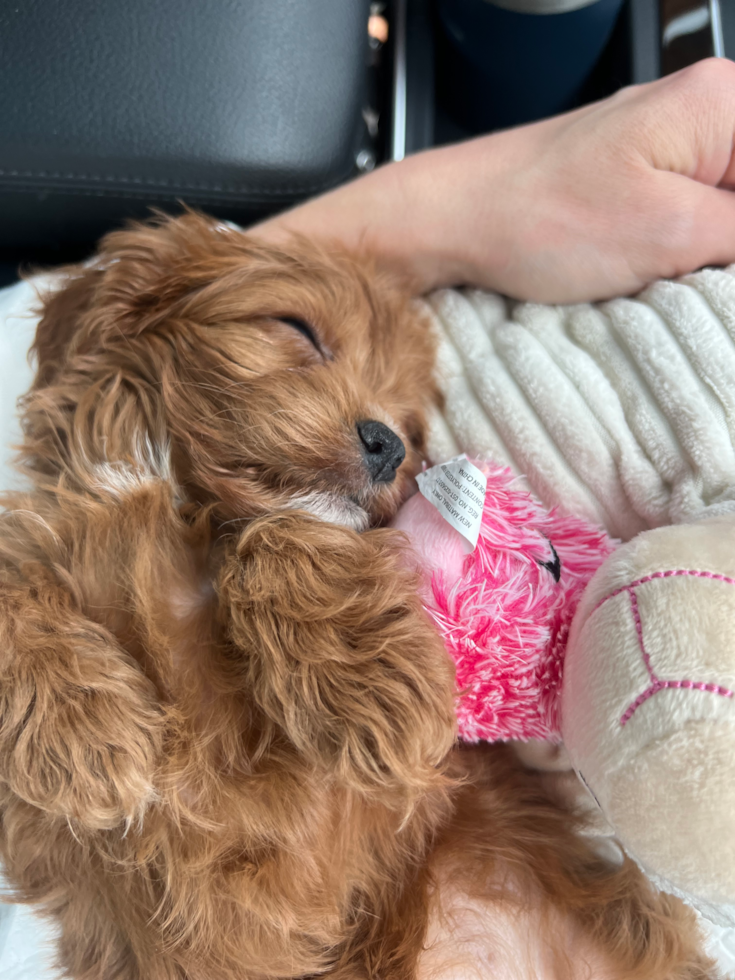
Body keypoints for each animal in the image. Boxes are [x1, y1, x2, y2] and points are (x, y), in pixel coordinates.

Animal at [0, 214, 716, 980]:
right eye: (295, 327)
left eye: (413, 425)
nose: (390, 444)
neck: (172, 497)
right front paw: (84, 726)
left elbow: (274, 531)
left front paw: (370, 682)